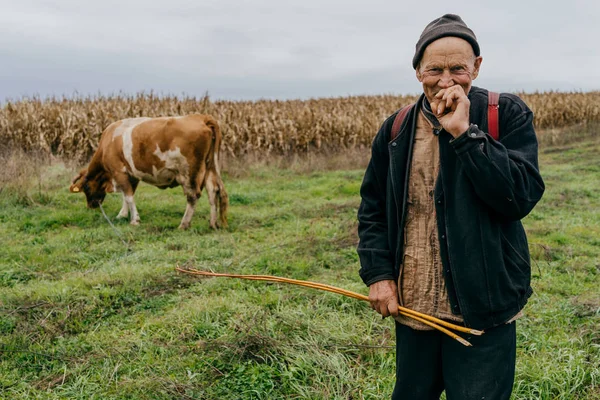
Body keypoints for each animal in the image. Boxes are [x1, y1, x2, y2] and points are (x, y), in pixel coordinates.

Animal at [69, 114, 227, 230]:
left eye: (86, 187)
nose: (91, 206)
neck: (109, 140)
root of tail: (201, 117)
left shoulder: (118, 171)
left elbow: (128, 195)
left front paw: (134, 220)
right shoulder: (132, 175)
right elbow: (127, 196)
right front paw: (122, 215)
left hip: (188, 172)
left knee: (193, 196)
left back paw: (184, 224)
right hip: (210, 168)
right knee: (213, 191)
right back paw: (213, 224)